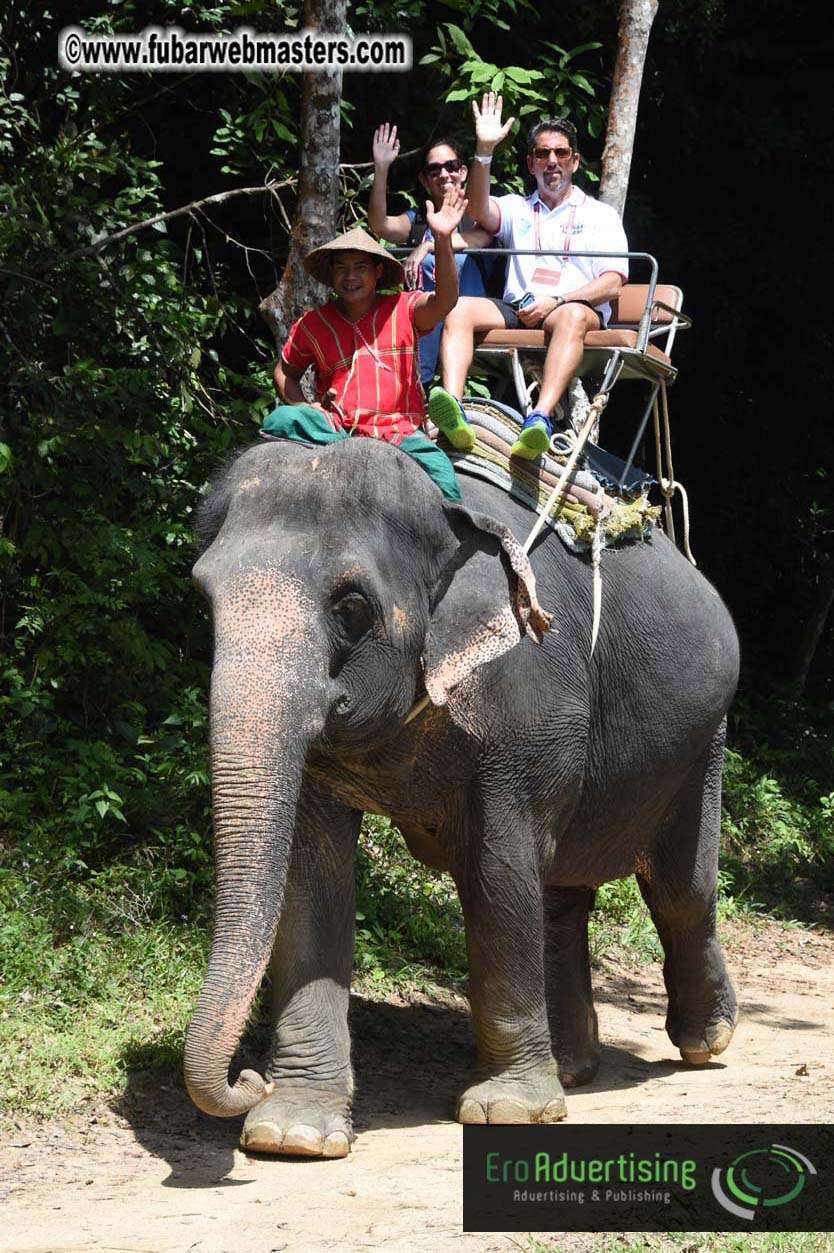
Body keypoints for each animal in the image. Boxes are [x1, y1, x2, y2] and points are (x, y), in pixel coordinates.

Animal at [184, 432, 739, 1159]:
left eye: (351, 607)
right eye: (204, 599)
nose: (247, 1078)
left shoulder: (527, 692)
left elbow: (498, 870)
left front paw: (506, 1110)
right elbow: (311, 877)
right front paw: (292, 1133)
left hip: (705, 738)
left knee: (679, 889)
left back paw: (705, 1043)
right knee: (561, 893)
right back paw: (571, 1067)